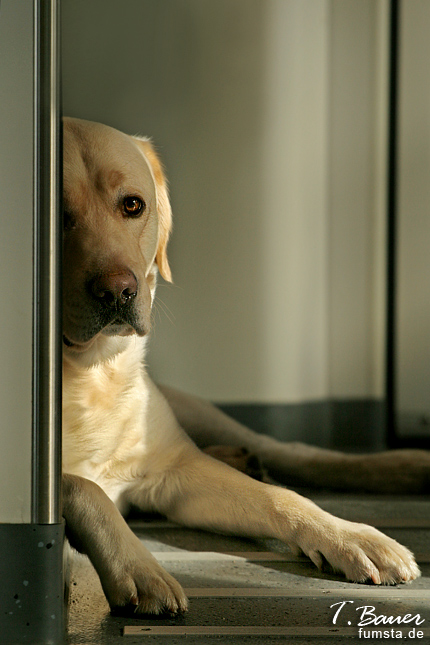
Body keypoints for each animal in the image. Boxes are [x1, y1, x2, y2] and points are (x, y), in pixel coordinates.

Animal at [61, 118, 426, 616]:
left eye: (132, 205)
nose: (119, 291)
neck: (92, 372)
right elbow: (84, 487)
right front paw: (140, 567)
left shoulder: (177, 472)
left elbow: (282, 499)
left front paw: (350, 536)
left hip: (196, 414)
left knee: (296, 454)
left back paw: (406, 465)